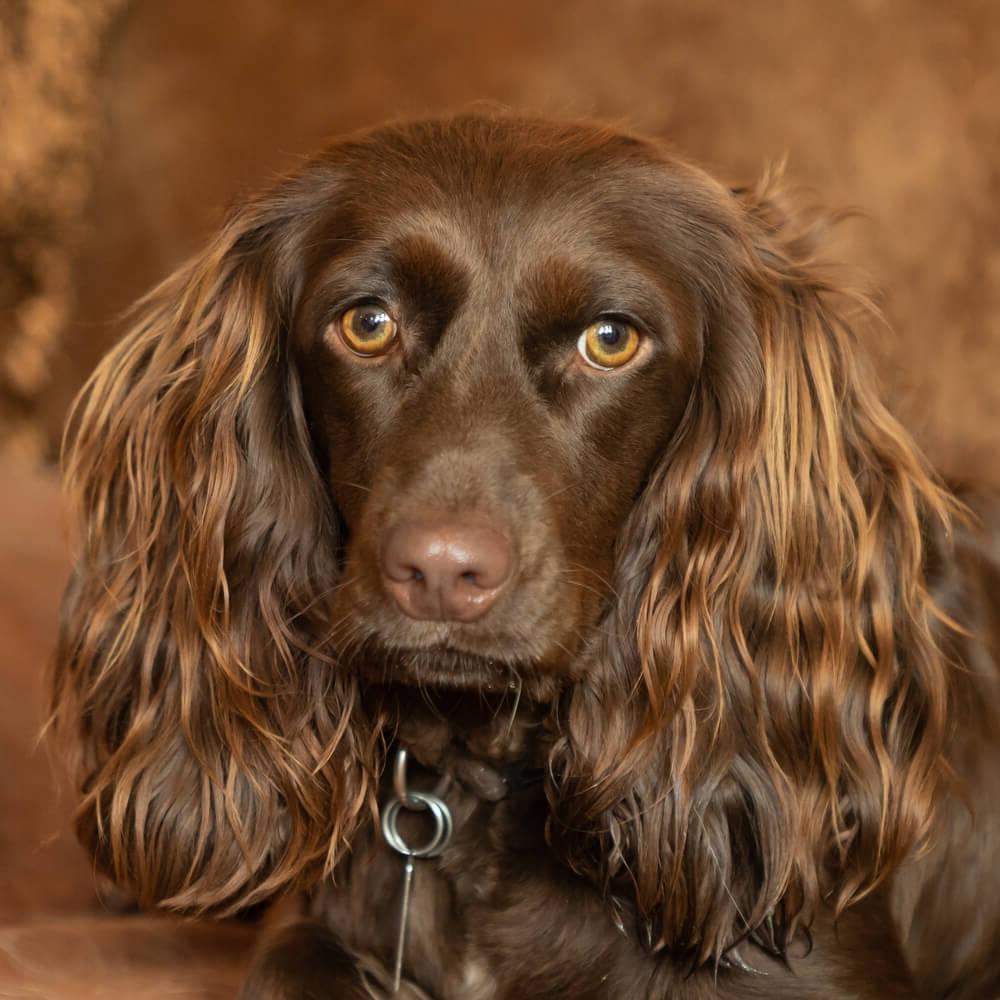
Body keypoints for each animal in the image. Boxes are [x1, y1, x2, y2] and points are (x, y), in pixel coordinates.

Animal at [52, 113, 1000, 996]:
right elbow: (289, 963)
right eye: (368, 323)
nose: (441, 573)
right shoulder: (311, 926)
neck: (481, 791)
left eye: (611, 339)